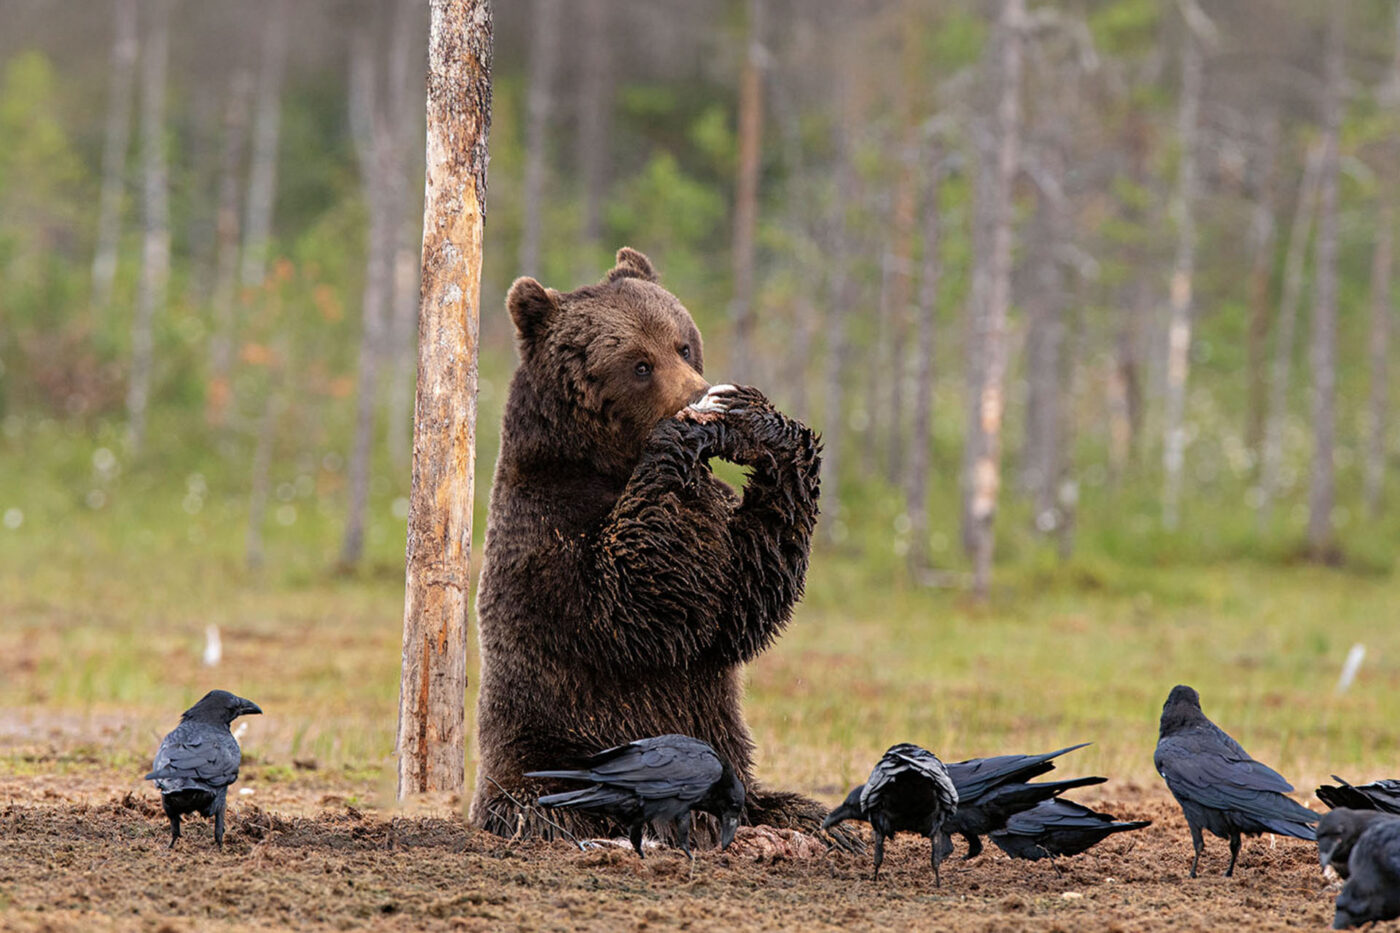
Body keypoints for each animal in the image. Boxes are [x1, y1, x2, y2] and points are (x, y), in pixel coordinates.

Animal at [469, 247, 826, 845]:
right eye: (639, 364)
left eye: (683, 343)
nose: (697, 392)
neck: (610, 464)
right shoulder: (549, 531)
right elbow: (633, 603)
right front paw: (679, 434)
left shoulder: (720, 521)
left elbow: (750, 592)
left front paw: (754, 419)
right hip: (553, 745)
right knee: (548, 801)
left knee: (770, 800)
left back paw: (815, 821)